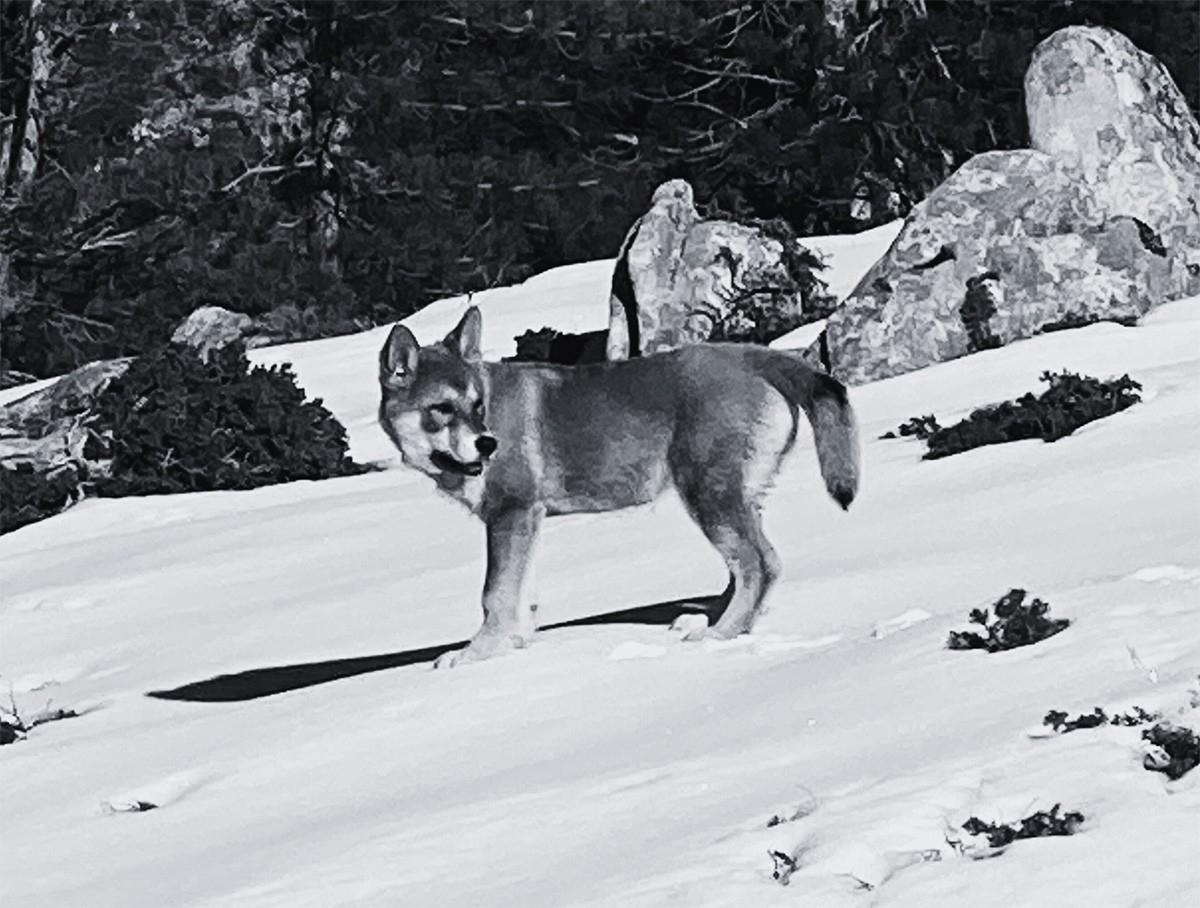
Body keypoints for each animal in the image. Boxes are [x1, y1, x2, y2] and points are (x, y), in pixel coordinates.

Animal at [379, 304, 859, 666]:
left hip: (709, 495)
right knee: (743, 569)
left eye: (477, 405)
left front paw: (476, 654)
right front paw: (515, 643)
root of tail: (754, 355)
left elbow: (494, 593)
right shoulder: (527, 518)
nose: (487, 443)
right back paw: (708, 621)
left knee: (761, 564)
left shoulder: (509, 510)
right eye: (442, 408)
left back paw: (718, 635)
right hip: (736, 496)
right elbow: (521, 590)